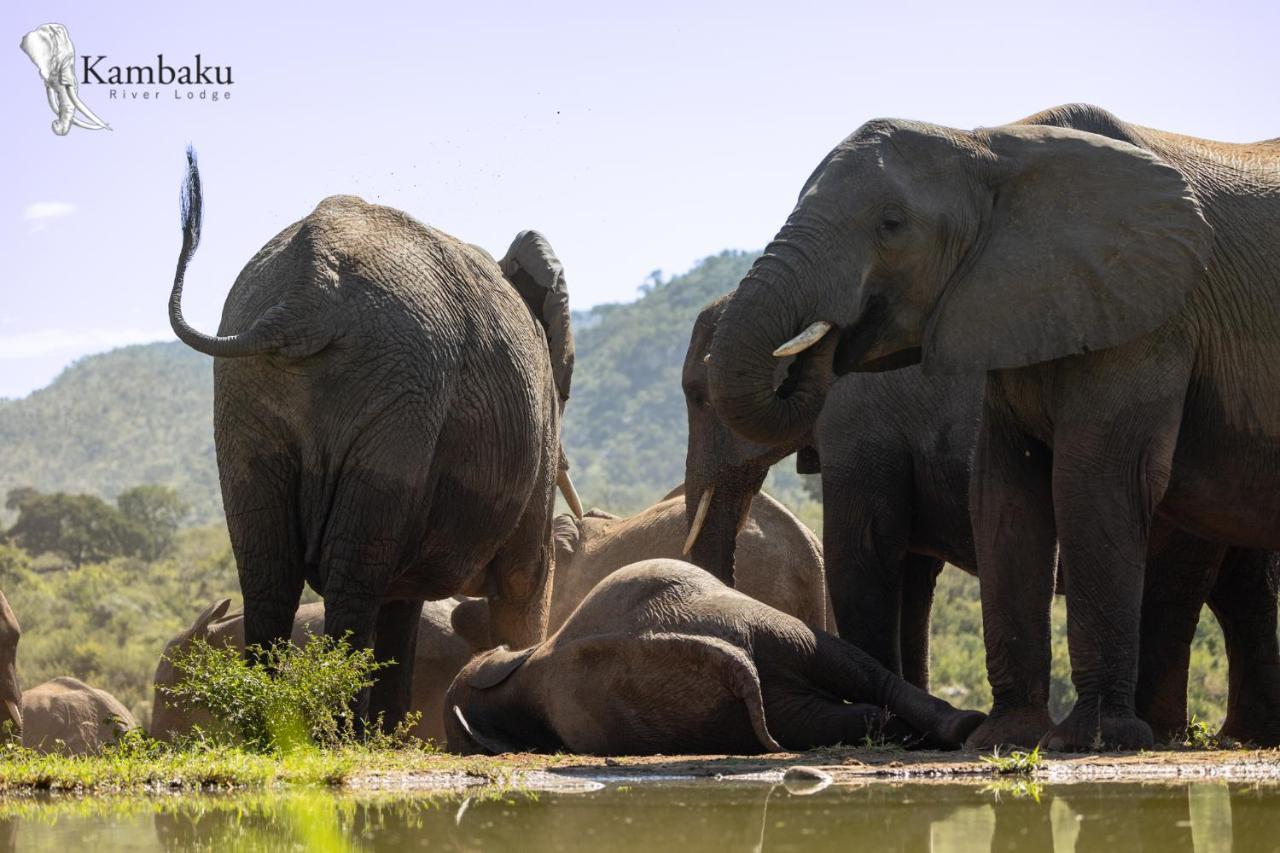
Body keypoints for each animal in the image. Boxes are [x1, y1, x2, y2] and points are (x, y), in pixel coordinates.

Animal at [163, 149, 570, 727]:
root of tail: (306, 298)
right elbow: (524, 578)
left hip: (251, 390)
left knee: (270, 568)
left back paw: (279, 729)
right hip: (404, 386)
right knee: (350, 575)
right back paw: (336, 733)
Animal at [701, 103, 1280, 747]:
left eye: (891, 224)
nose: (822, 338)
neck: (990, 145)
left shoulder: (1148, 317)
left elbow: (1093, 484)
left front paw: (1087, 741)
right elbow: (1003, 494)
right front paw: (1003, 738)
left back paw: (1164, 732)